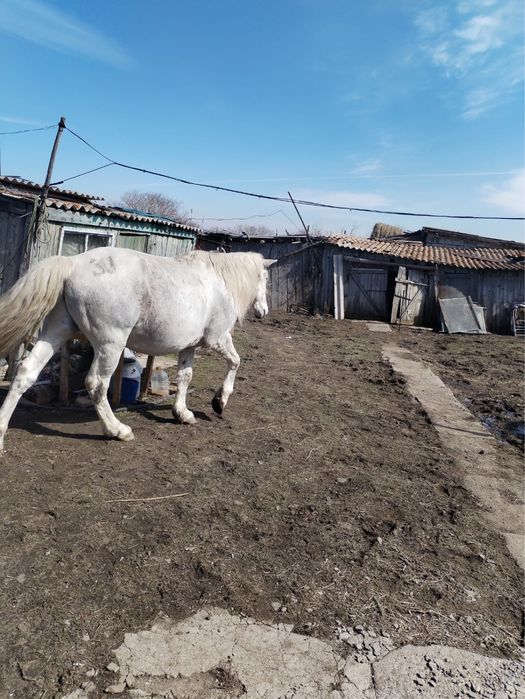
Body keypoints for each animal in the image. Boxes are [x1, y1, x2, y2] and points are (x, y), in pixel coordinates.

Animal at [0, 247, 274, 451]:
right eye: (266, 278)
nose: (263, 312)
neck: (218, 282)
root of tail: (73, 264)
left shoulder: (188, 347)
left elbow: (185, 377)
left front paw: (182, 414)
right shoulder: (218, 338)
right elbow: (235, 362)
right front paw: (220, 401)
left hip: (58, 331)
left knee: (26, 373)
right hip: (110, 345)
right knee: (96, 384)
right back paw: (117, 430)